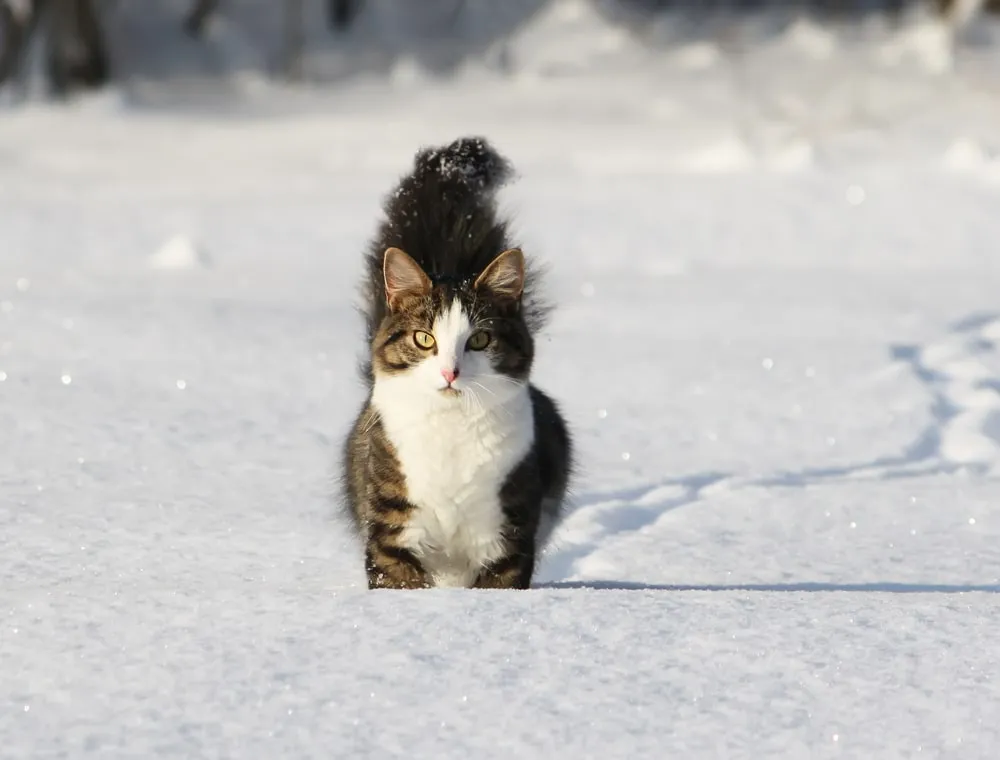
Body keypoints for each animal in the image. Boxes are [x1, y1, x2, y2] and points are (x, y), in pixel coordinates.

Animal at [342, 135, 572, 588]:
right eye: (424, 338)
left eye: (480, 339)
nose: (451, 372)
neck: (450, 431)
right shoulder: (392, 530)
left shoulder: (507, 534)